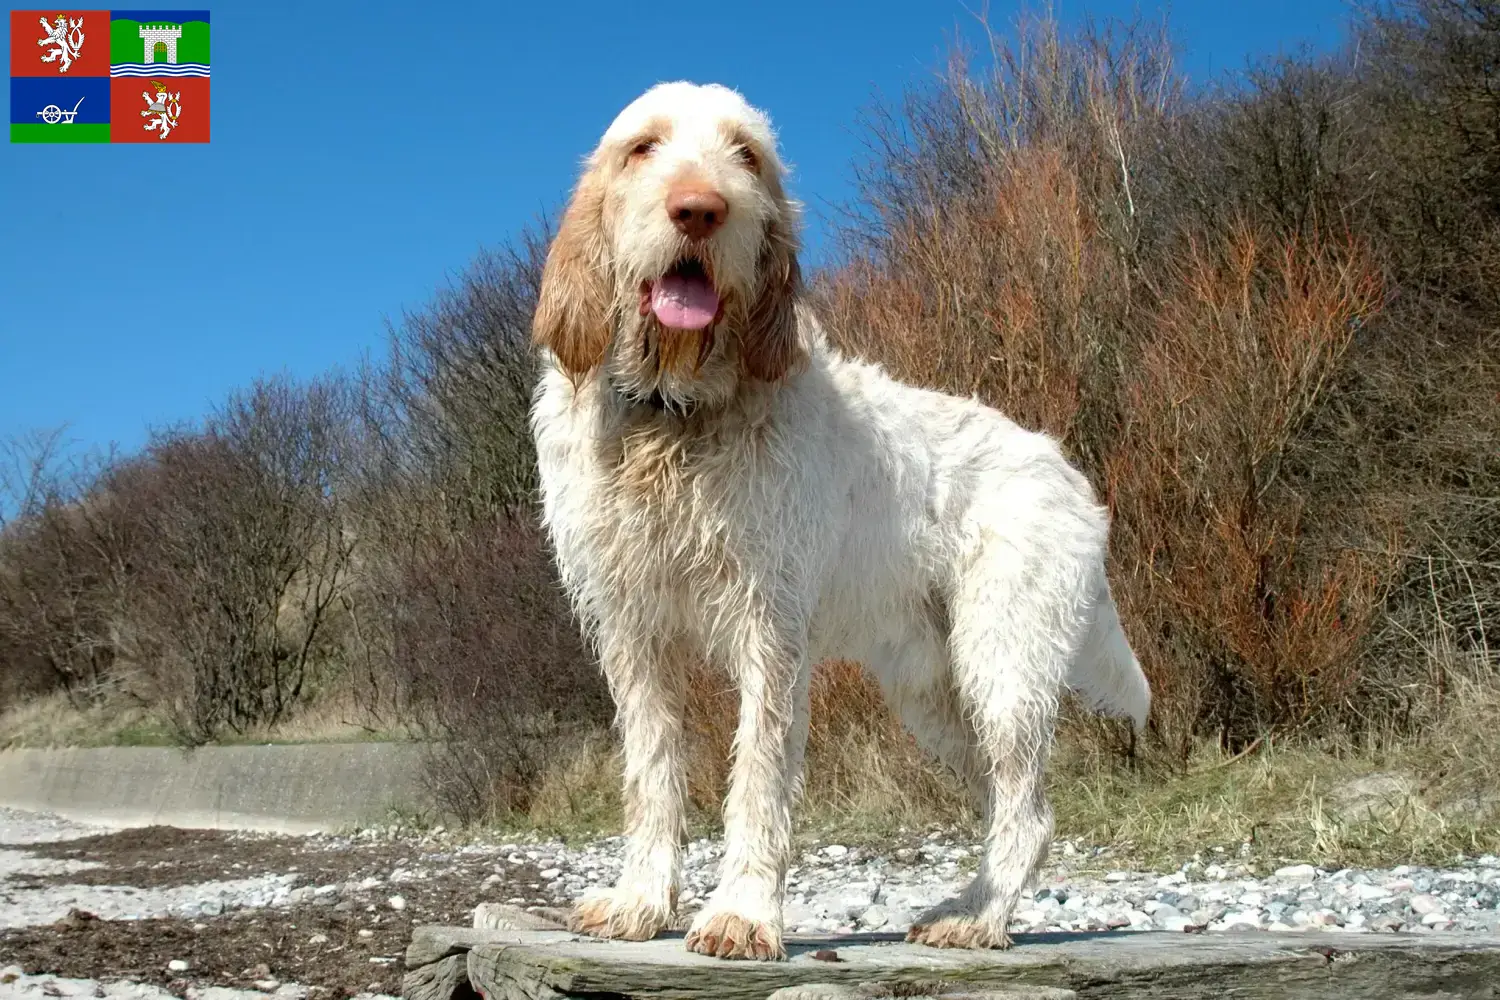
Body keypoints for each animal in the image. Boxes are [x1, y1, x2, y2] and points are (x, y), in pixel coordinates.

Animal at [528, 82, 1146, 959]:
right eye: (643, 147)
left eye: (746, 155)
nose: (700, 209)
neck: (674, 418)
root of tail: (1071, 478)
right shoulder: (633, 632)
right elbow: (652, 773)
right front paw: (640, 901)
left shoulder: (771, 629)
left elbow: (757, 776)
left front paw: (742, 913)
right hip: (934, 691)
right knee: (1014, 808)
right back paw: (968, 906)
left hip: (1005, 667)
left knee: (1026, 810)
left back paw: (978, 919)